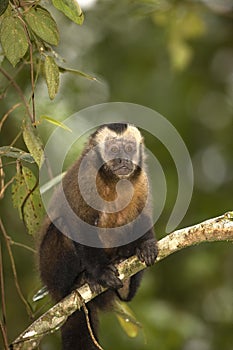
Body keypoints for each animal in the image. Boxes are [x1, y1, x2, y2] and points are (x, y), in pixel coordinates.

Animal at [38, 121, 158, 348]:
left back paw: (125, 271)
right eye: (113, 150)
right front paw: (101, 273)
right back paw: (79, 282)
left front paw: (146, 245)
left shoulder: (143, 180)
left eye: (129, 148)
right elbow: (80, 224)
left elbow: (142, 216)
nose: (123, 159)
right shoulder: (85, 175)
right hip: (51, 271)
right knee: (64, 227)